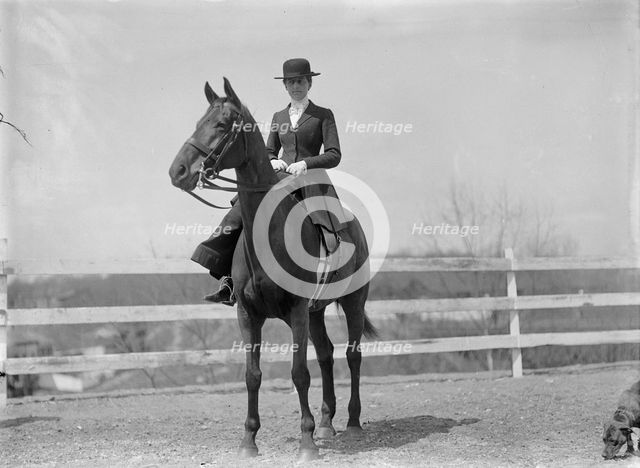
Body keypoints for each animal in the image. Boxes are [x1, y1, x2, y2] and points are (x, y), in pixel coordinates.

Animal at [168, 78, 377, 460]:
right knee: (326, 356)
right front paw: (248, 441)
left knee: (352, 356)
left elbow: (299, 373)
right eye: (198, 123)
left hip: (352, 302)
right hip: (315, 313)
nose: (178, 172)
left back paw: (352, 424)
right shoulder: (249, 314)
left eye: (222, 125)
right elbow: (253, 375)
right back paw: (327, 424)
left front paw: (306, 444)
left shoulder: (295, 311)